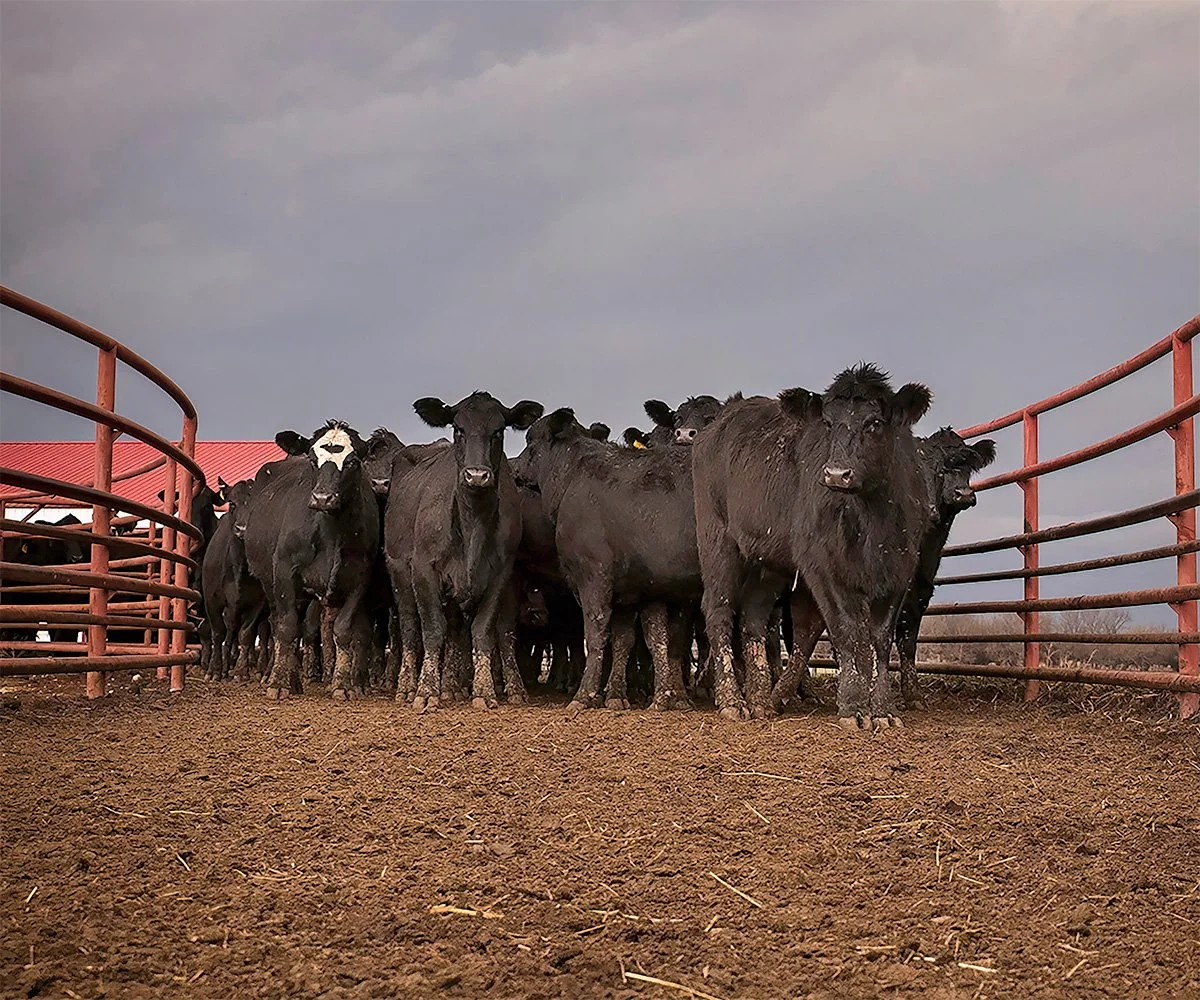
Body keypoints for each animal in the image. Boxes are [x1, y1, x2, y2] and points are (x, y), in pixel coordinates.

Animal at [241, 420, 380, 700]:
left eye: (352, 462)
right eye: (313, 460)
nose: (322, 498)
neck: (330, 532)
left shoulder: (359, 579)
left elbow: (343, 631)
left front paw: (342, 684)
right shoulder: (284, 573)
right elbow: (286, 629)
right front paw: (278, 683)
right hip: (270, 584)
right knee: (279, 624)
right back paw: (281, 676)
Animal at [403, 391, 543, 710]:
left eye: (498, 431)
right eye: (459, 429)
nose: (477, 475)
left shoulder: (501, 575)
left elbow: (482, 631)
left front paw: (484, 690)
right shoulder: (422, 570)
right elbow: (432, 629)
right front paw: (426, 691)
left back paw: (454, 687)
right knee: (409, 628)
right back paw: (407, 687)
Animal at [692, 364, 932, 729]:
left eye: (874, 423)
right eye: (828, 424)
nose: (836, 474)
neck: (871, 519)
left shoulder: (900, 567)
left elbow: (879, 637)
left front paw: (883, 709)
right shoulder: (822, 566)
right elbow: (845, 630)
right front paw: (852, 707)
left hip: (768, 559)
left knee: (754, 617)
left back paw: (761, 700)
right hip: (717, 539)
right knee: (718, 610)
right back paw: (732, 700)